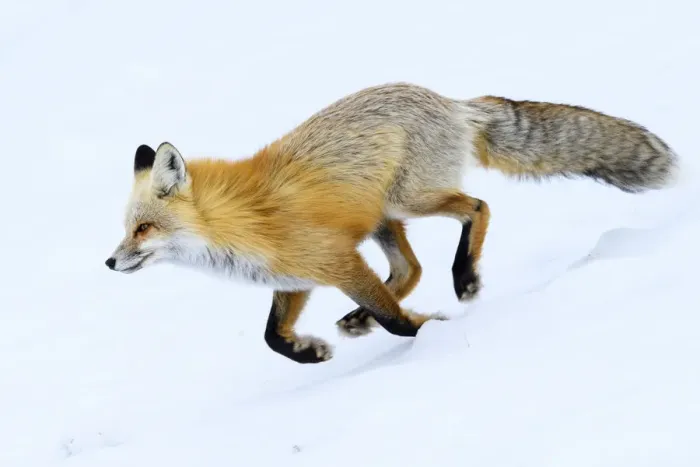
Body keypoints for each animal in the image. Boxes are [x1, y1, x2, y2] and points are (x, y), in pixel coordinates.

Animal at [105, 82, 680, 364]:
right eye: (127, 228)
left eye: (143, 229)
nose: (109, 261)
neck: (238, 224)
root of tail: (450, 102)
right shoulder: (298, 276)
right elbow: (272, 337)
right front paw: (310, 352)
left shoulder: (336, 260)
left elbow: (395, 320)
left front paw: (431, 332)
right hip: (385, 216)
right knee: (409, 269)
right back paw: (359, 318)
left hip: (407, 200)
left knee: (477, 208)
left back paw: (464, 278)